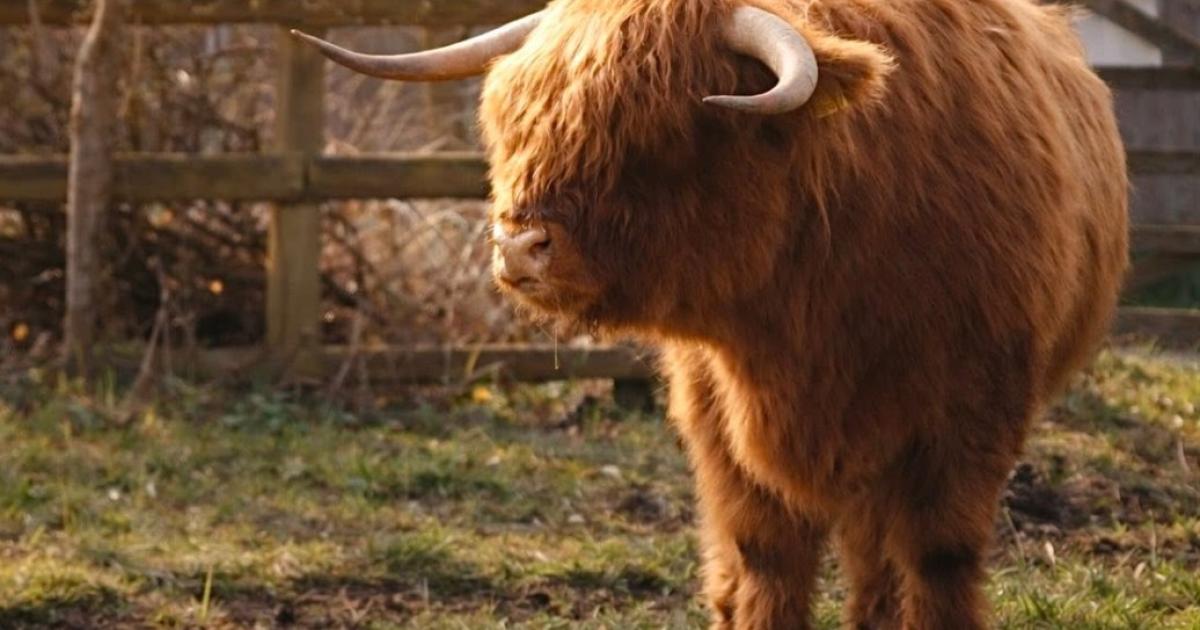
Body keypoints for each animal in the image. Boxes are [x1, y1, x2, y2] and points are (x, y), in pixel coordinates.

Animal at [293, 0, 1129, 627]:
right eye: (516, 121)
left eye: (652, 134)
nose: (519, 246)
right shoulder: (722, 429)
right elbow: (764, 564)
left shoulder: (968, 421)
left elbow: (937, 561)